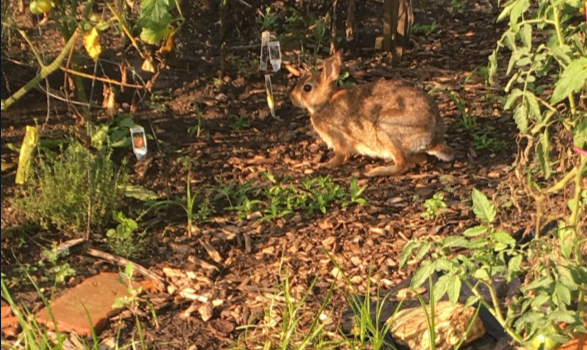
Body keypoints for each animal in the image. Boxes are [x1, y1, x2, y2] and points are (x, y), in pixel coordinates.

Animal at [290, 50, 454, 176]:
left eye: (307, 88)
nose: (292, 98)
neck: (325, 102)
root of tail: (433, 139)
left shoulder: (339, 139)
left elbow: (340, 155)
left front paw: (327, 165)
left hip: (386, 131)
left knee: (403, 164)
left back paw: (375, 171)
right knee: (420, 159)